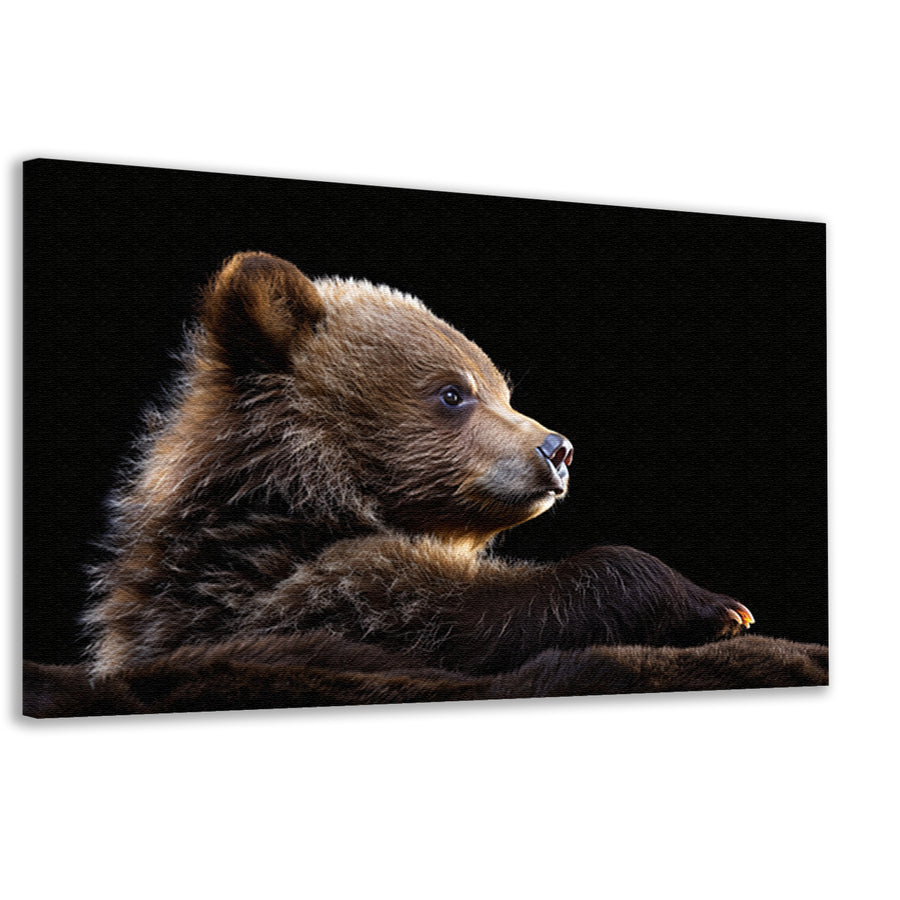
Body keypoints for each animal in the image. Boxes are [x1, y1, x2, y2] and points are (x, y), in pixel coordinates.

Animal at [84, 251, 754, 678]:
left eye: (502, 389)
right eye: (453, 392)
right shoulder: (277, 599)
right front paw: (716, 606)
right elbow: (450, 613)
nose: (557, 449)